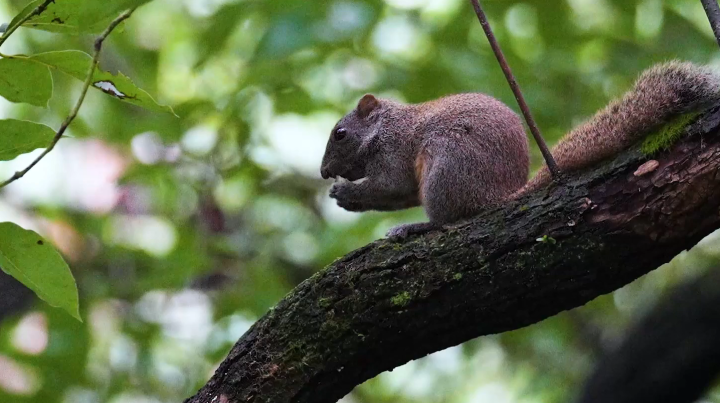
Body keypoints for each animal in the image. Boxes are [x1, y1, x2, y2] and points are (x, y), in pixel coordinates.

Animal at [320, 61, 720, 238]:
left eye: (340, 134)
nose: (324, 172)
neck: (384, 128)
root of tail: (497, 197)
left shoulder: (395, 152)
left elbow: (391, 186)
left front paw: (346, 193)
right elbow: (398, 195)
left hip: (446, 166)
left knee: (447, 220)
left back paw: (414, 228)